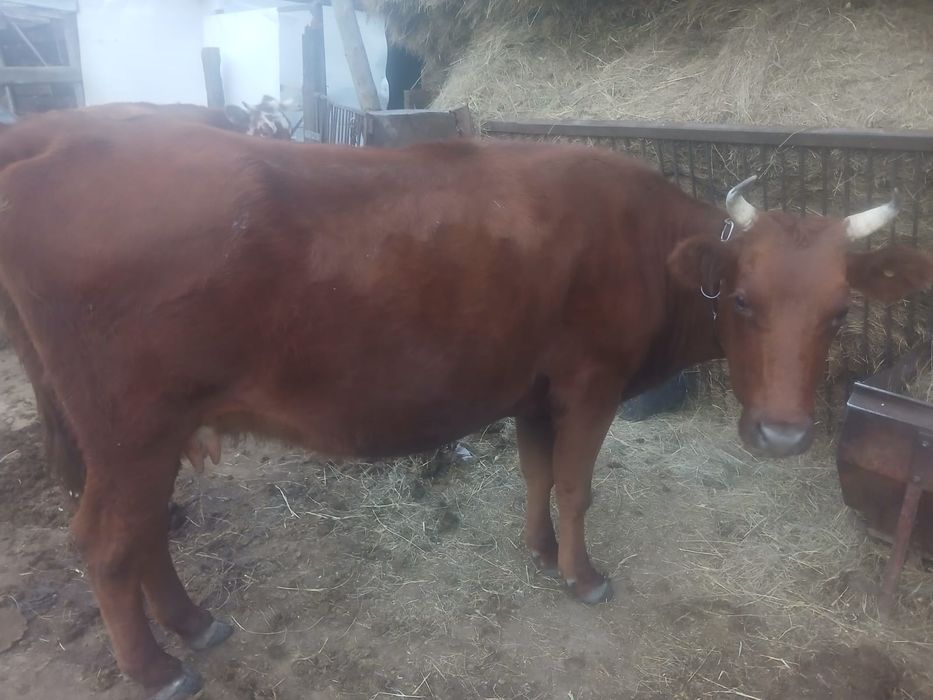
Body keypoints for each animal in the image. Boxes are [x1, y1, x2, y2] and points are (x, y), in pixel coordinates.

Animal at [0, 108, 929, 700]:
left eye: (839, 312)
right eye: (740, 300)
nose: (781, 434)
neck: (638, 238)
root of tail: (54, 145)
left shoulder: (532, 389)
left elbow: (535, 476)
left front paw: (539, 552)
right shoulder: (589, 380)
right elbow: (575, 484)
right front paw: (582, 575)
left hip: (152, 434)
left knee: (146, 534)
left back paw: (193, 624)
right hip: (133, 429)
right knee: (105, 543)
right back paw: (159, 670)